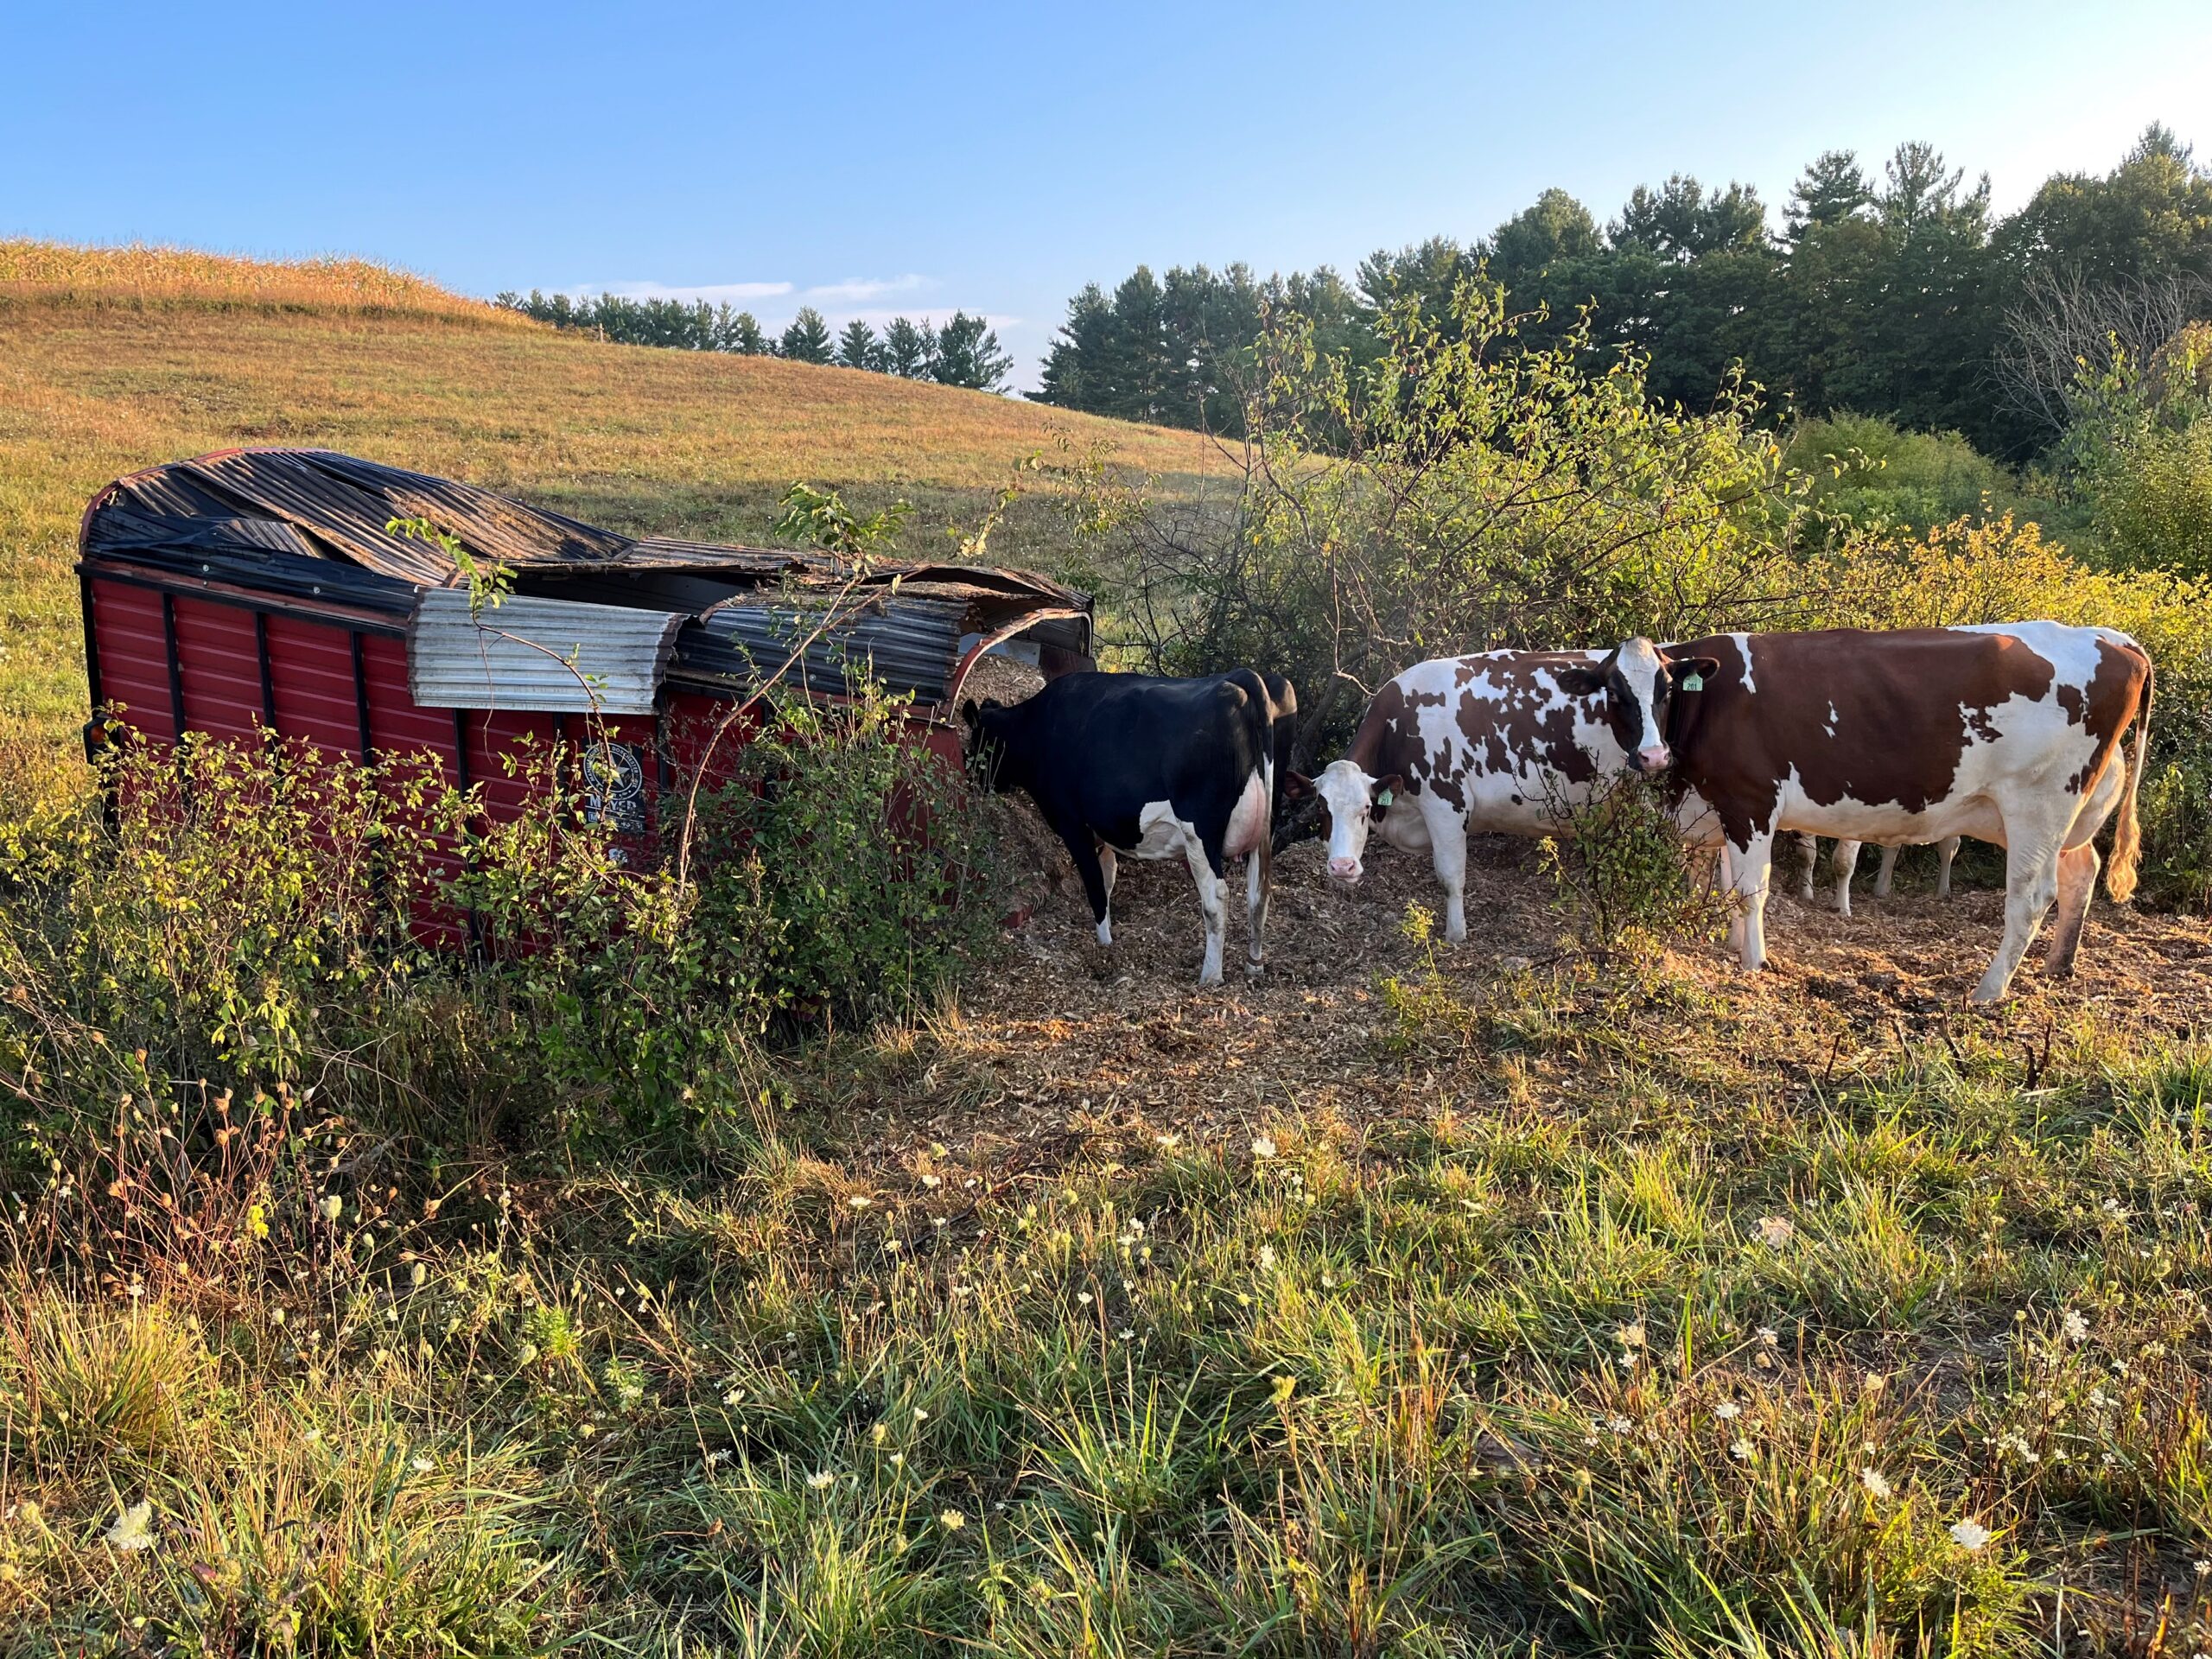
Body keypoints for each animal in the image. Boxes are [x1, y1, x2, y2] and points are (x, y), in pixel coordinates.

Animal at [960, 672, 1292, 995]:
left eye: (973, 745)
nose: (973, 782)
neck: (1035, 728)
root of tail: (1241, 678)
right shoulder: (1103, 833)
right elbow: (1108, 881)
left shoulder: (1072, 825)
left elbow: (1095, 887)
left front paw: (1105, 944)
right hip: (1265, 828)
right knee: (1259, 894)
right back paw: (1254, 965)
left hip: (1199, 832)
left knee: (1216, 898)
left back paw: (1210, 975)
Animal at [1282, 641, 1672, 942]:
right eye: (1323, 809)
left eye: (1365, 808)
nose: (1343, 867)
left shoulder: (1447, 805)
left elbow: (1450, 877)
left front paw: (1456, 935)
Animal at [1601, 623, 2150, 1008]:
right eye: (1615, 694)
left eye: (1665, 690)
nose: (1651, 755)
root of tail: (2111, 638)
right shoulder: (1721, 809)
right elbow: (1729, 886)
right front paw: (1735, 945)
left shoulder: (1750, 801)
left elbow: (1751, 890)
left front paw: (1754, 964)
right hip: (2068, 815)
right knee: (2081, 872)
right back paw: (2059, 964)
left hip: (2039, 803)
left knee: (2031, 898)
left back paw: (1988, 992)